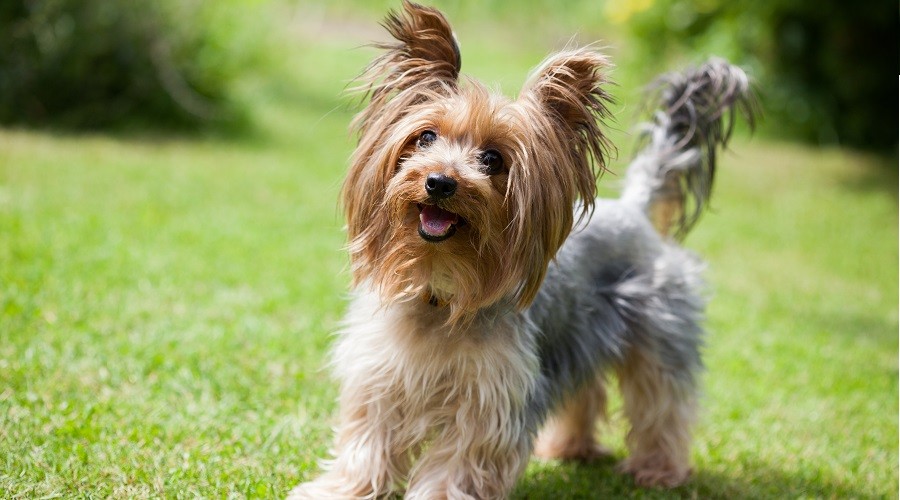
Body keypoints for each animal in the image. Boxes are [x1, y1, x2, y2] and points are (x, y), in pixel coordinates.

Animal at [294, 1, 752, 498]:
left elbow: (459, 461)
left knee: (661, 401)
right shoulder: (380, 377)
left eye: (493, 159)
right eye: (425, 137)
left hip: (658, 328)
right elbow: (367, 441)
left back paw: (658, 469)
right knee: (586, 390)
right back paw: (569, 448)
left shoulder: (490, 398)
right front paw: (338, 489)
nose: (440, 182)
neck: (441, 286)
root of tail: (636, 209)